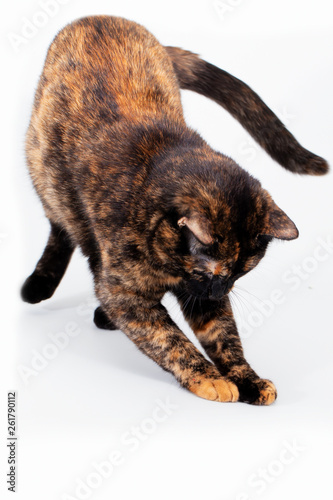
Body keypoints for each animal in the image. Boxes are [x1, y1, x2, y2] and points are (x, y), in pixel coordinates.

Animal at [22, 16, 328, 406]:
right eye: (209, 272)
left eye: (241, 273)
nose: (217, 292)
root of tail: (100, 17)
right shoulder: (125, 295)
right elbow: (169, 340)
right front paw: (208, 378)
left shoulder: (203, 304)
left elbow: (224, 337)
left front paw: (248, 378)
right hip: (44, 175)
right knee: (62, 229)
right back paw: (41, 284)